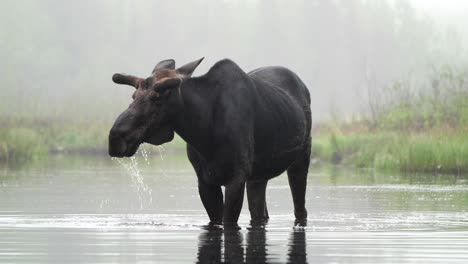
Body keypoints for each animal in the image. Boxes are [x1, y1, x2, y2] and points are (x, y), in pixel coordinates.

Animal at [107, 57, 310, 225]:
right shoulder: (204, 181)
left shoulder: (236, 178)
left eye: (157, 97)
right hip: (258, 177)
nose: (115, 138)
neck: (203, 131)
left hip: (301, 159)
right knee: (260, 213)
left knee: (300, 209)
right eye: (134, 96)